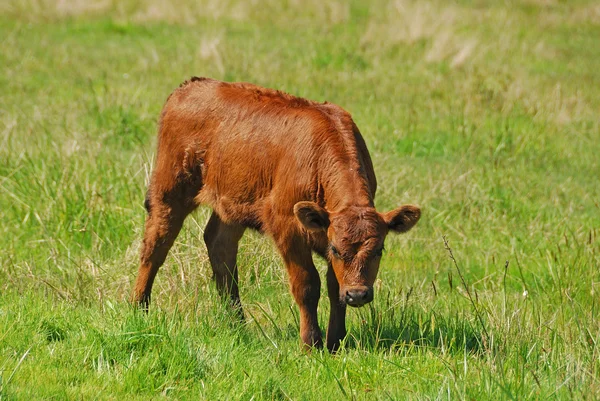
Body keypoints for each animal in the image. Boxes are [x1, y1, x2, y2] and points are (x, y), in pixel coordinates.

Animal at [133, 77, 420, 350]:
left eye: (379, 250)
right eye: (337, 250)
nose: (358, 295)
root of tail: (189, 87)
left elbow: (333, 286)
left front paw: (335, 343)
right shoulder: (289, 229)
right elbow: (307, 285)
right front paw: (311, 344)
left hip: (232, 206)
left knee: (220, 245)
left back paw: (237, 323)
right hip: (170, 191)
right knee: (155, 246)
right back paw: (139, 309)